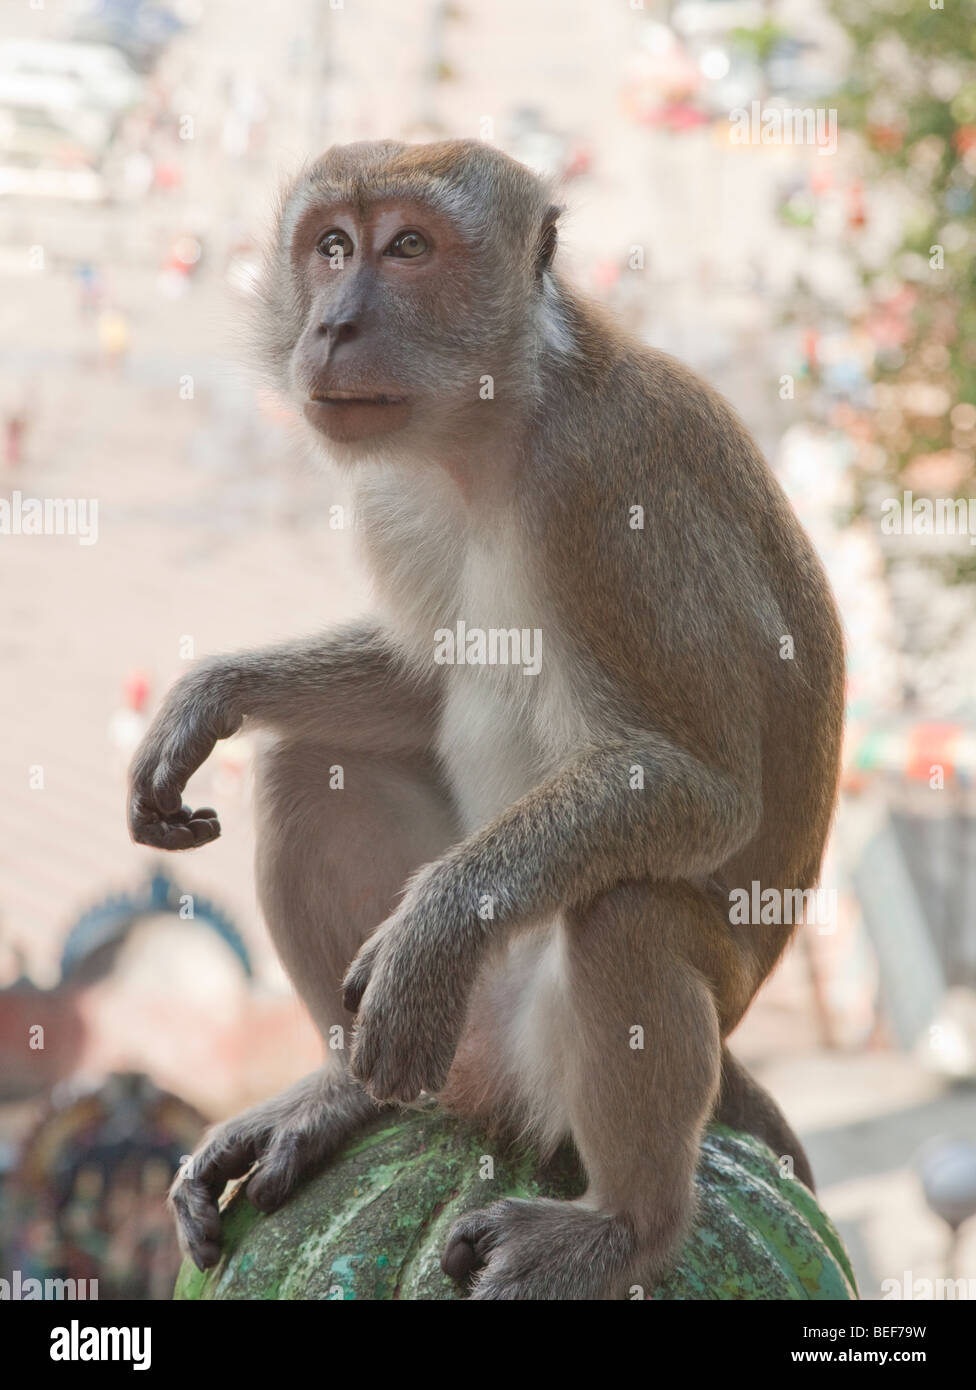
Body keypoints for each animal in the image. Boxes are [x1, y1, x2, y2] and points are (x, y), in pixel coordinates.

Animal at [129, 135, 850, 1295]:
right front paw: (214, 693)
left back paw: (626, 1226)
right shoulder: (396, 493)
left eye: (409, 248)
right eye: (332, 247)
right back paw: (342, 1094)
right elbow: (424, 682)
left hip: (534, 1052)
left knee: (627, 909)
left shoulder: (602, 490)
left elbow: (698, 786)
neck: (494, 429)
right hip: (471, 1048)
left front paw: (434, 928)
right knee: (305, 769)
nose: (333, 325)